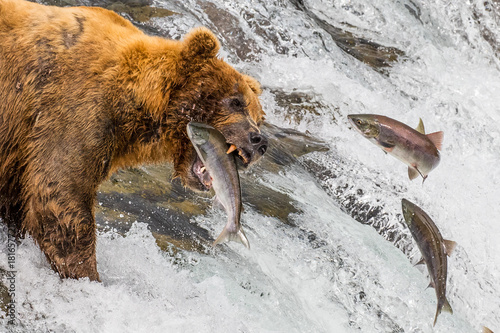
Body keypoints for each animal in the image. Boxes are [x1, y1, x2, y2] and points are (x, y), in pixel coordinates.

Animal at [0, 0, 268, 280]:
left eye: (258, 116)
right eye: (235, 101)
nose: (259, 141)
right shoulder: (72, 110)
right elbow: (60, 195)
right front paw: (89, 276)